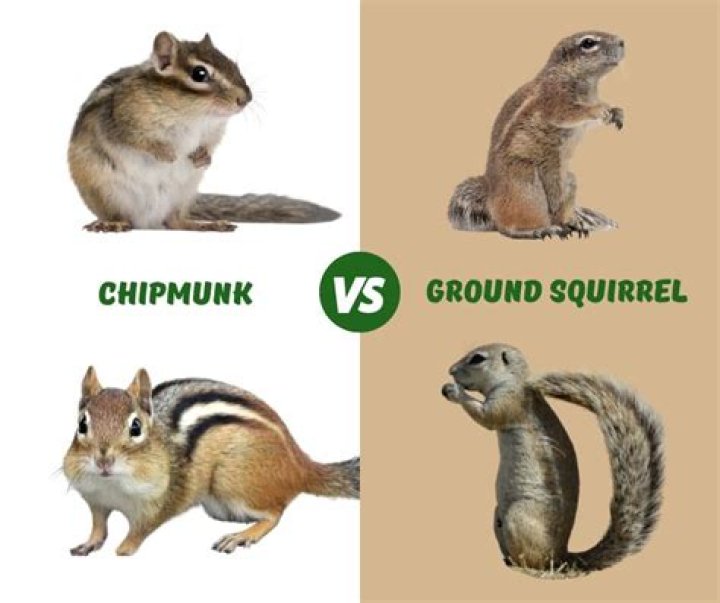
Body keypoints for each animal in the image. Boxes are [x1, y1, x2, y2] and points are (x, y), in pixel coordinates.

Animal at [63, 367, 359, 555]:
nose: (104, 460)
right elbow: (98, 526)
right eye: (82, 424)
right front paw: (88, 543)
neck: (112, 486)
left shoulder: (161, 501)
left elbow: (140, 530)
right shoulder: (96, 500)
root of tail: (299, 463)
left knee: (275, 513)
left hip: (233, 482)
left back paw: (243, 536)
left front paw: (124, 549)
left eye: (136, 427)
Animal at [68, 31, 340, 232]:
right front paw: (166, 153)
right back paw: (112, 223)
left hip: (182, 195)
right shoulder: (121, 119)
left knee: (175, 222)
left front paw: (203, 157)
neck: (194, 116)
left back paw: (205, 225)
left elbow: (209, 145)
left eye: (233, 65)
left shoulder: (213, 132)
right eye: (199, 73)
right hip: (106, 192)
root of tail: (147, 220)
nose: (245, 99)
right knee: (123, 216)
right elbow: (137, 140)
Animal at [441, 343, 663, 578]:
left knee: (534, 561)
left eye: (477, 359)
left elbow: (486, 417)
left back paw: (524, 568)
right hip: (498, 516)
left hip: (518, 518)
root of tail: (560, 555)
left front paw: (454, 391)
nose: (450, 371)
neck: (513, 379)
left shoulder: (510, 402)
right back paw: (508, 561)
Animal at [448, 31, 625, 239]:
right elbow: (568, 113)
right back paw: (541, 229)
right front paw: (599, 109)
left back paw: (574, 223)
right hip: (526, 187)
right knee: (508, 226)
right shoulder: (553, 98)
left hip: (569, 182)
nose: (622, 42)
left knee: (559, 213)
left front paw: (616, 112)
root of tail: (490, 196)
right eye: (588, 42)